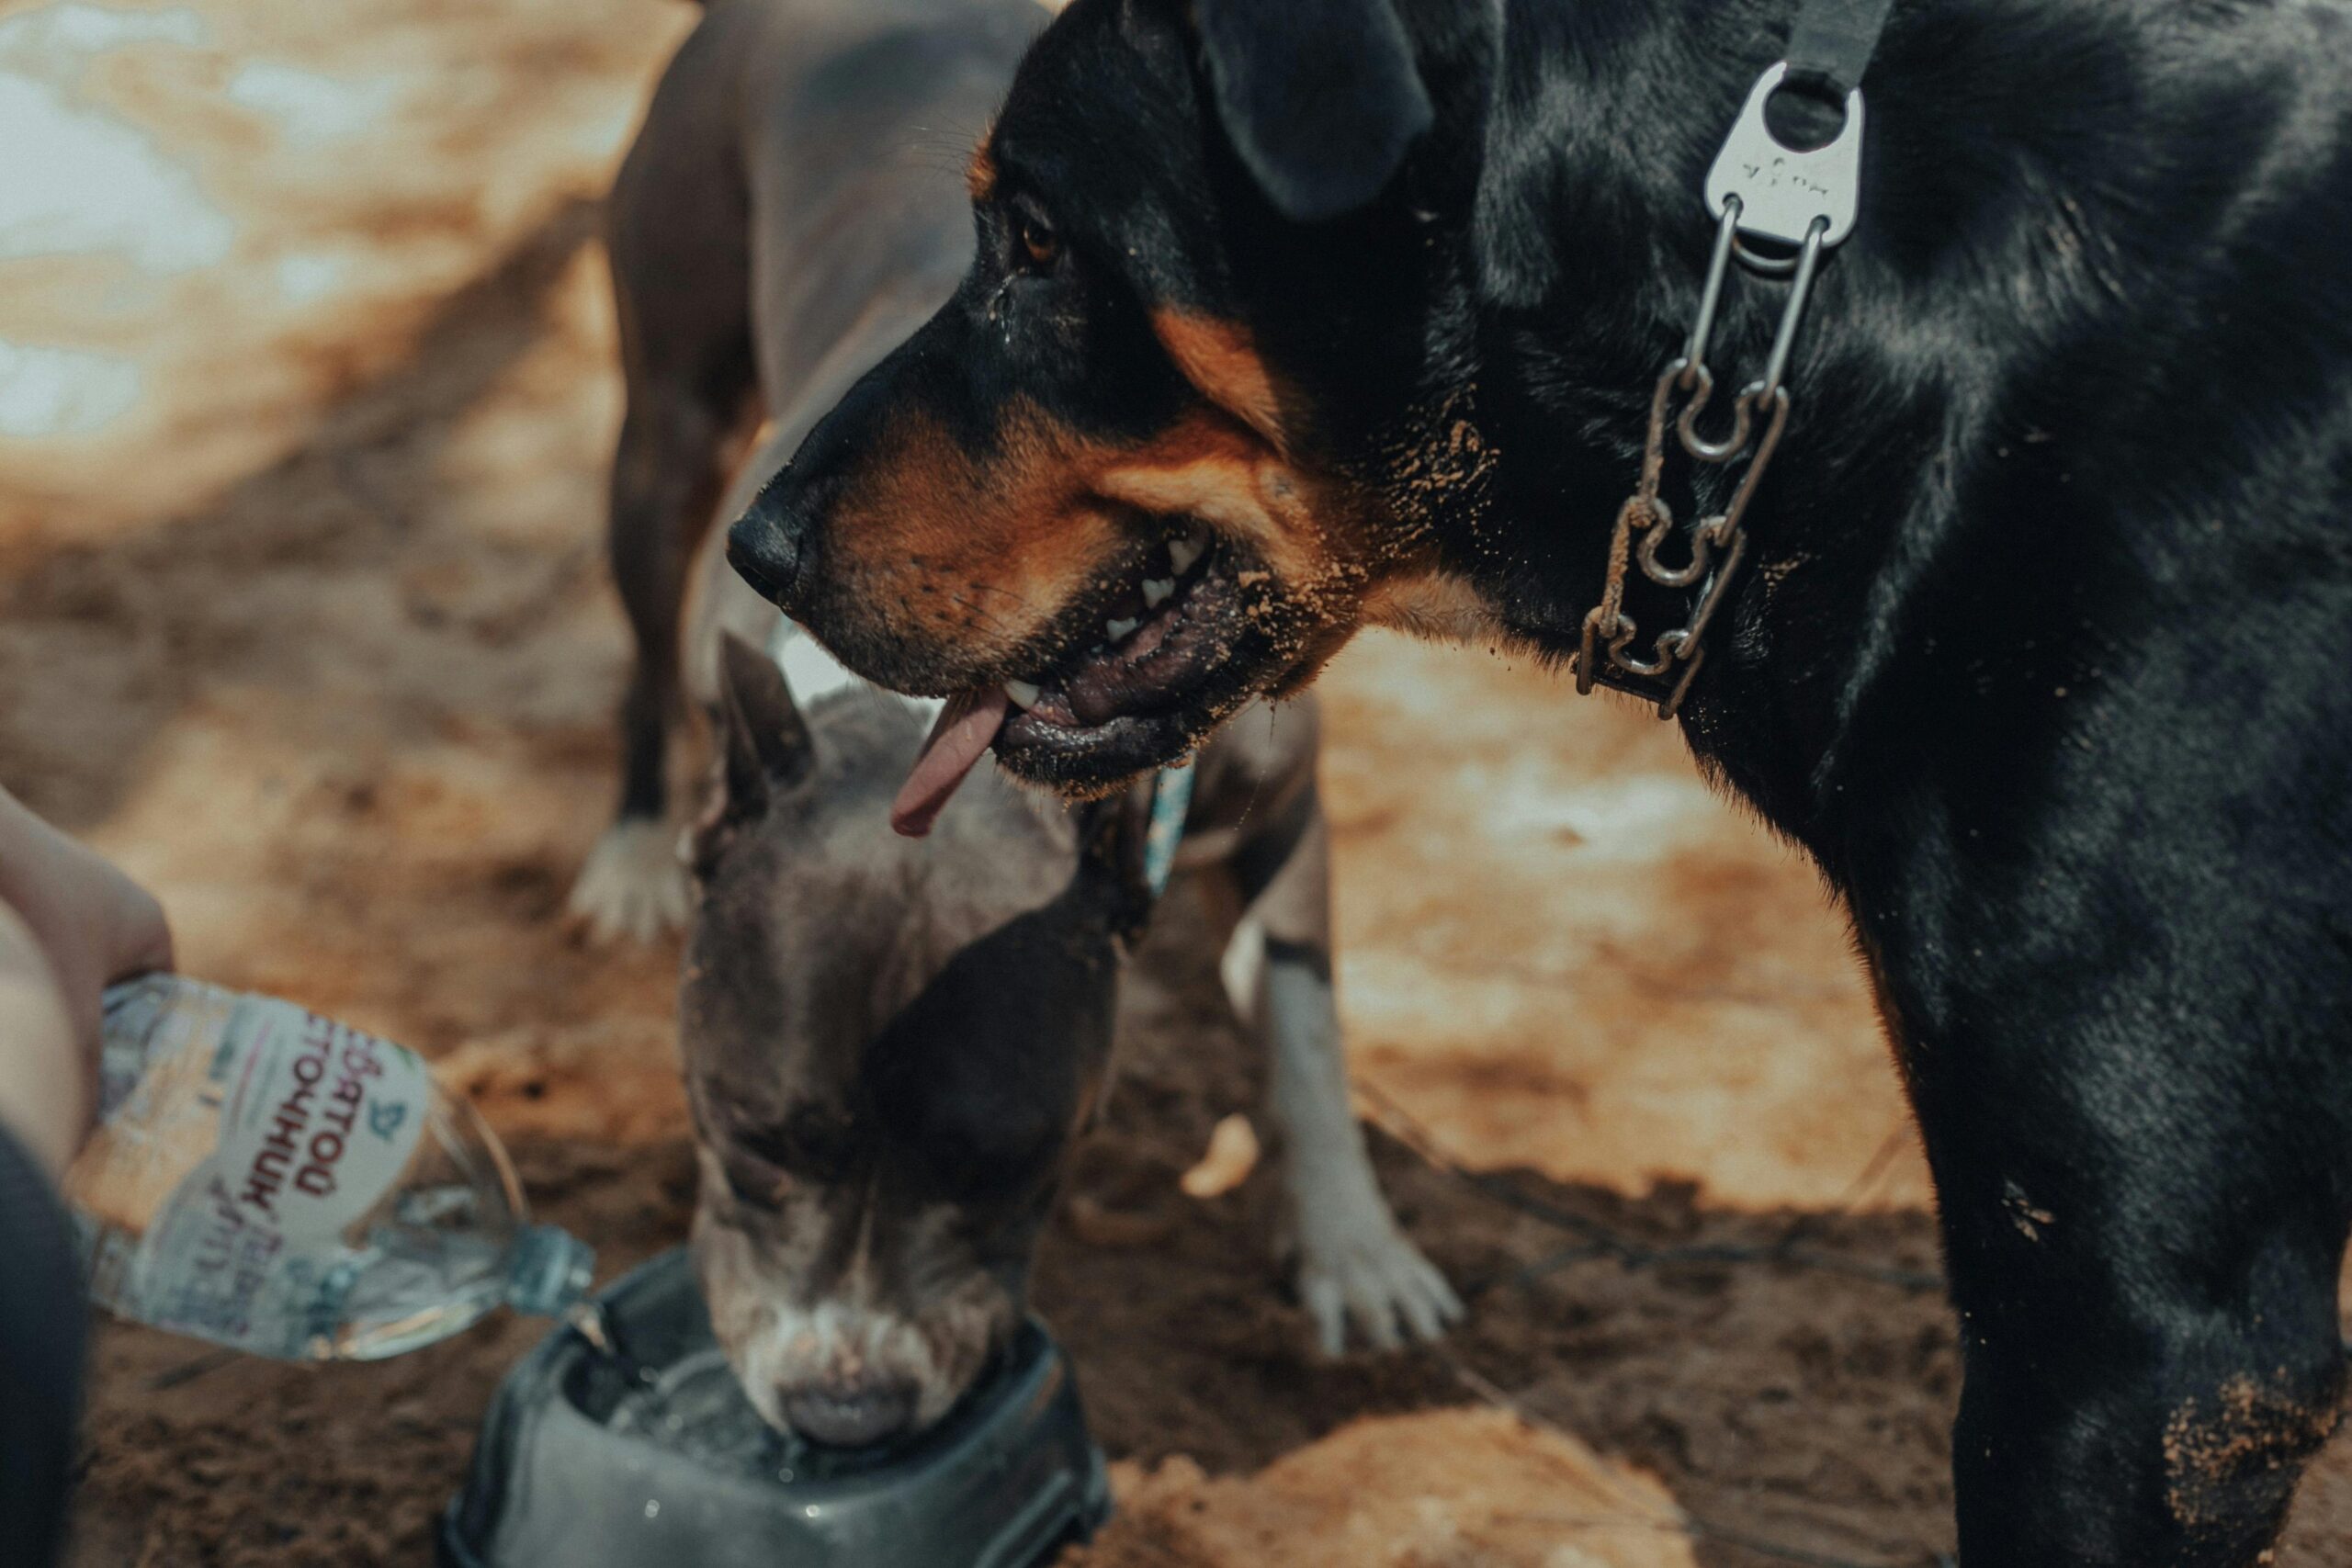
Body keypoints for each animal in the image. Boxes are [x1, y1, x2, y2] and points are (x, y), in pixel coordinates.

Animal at [569, 0, 1448, 1448]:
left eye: (1004, 1165)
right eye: (754, 1140)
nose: (847, 1410)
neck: (943, 723)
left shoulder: (1279, 803)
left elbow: (1306, 1027)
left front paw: (1353, 1249)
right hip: (668, 422)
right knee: (642, 639)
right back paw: (636, 849)